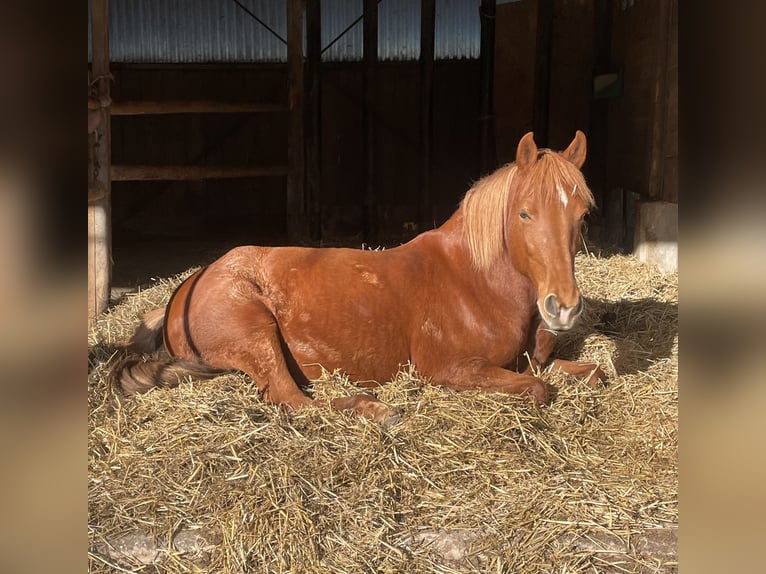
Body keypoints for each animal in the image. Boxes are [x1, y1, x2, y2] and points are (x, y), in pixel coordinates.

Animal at [113, 131, 604, 424]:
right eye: (525, 213)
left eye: (583, 215)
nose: (563, 308)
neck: (476, 284)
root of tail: (184, 289)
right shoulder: (450, 369)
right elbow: (538, 389)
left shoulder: (528, 361)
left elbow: (593, 372)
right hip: (256, 333)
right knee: (292, 399)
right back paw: (371, 407)